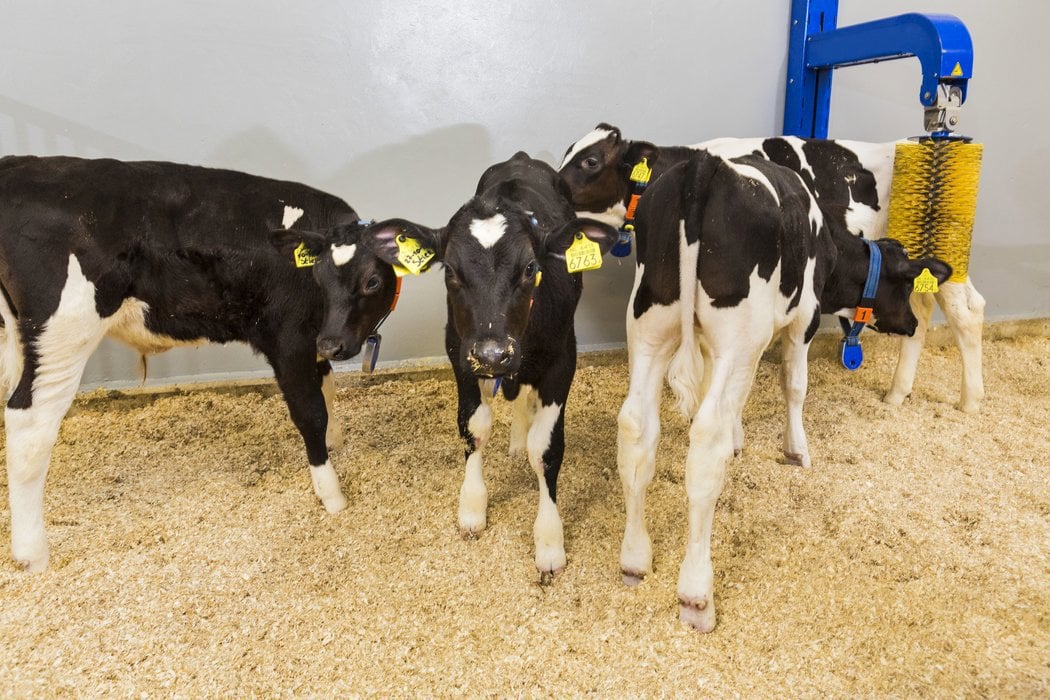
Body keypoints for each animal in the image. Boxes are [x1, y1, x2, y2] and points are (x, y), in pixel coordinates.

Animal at [0, 155, 399, 572]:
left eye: (372, 281)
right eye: (319, 277)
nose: (336, 343)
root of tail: (17, 165)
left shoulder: (314, 343)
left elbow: (328, 389)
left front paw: (335, 441)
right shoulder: (287, 337)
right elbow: (311, 412)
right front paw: (331, 493)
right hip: (63, 331)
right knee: (29, 422)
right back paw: (32, 554)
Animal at [347, 151, 619, 575]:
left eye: (530, 269)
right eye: (451, 271)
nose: (493, 354)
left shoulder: (563, 359)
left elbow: (545, 448)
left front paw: (549, 541)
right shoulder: (459, 352)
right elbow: (474, 427)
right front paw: (472, 506)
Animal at [560, 124, 986, 413]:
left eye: (590, 160)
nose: (552, 186)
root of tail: (914, 141)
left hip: (942, 246)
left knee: (966, 313)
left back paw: (971, 400)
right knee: (925, 312)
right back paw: (898, 393)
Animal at [564, 140, 951, 631]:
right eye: (903, 285)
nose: (912, 323)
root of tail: (704, 168)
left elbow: (729, 397)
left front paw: (739, 439)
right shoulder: (803, 317)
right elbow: (795, 384)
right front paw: (796, 450)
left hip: (649, 325)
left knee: (636, 428)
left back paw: (634, 559)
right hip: (737, 333)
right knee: (704, 442)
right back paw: (696, 595)